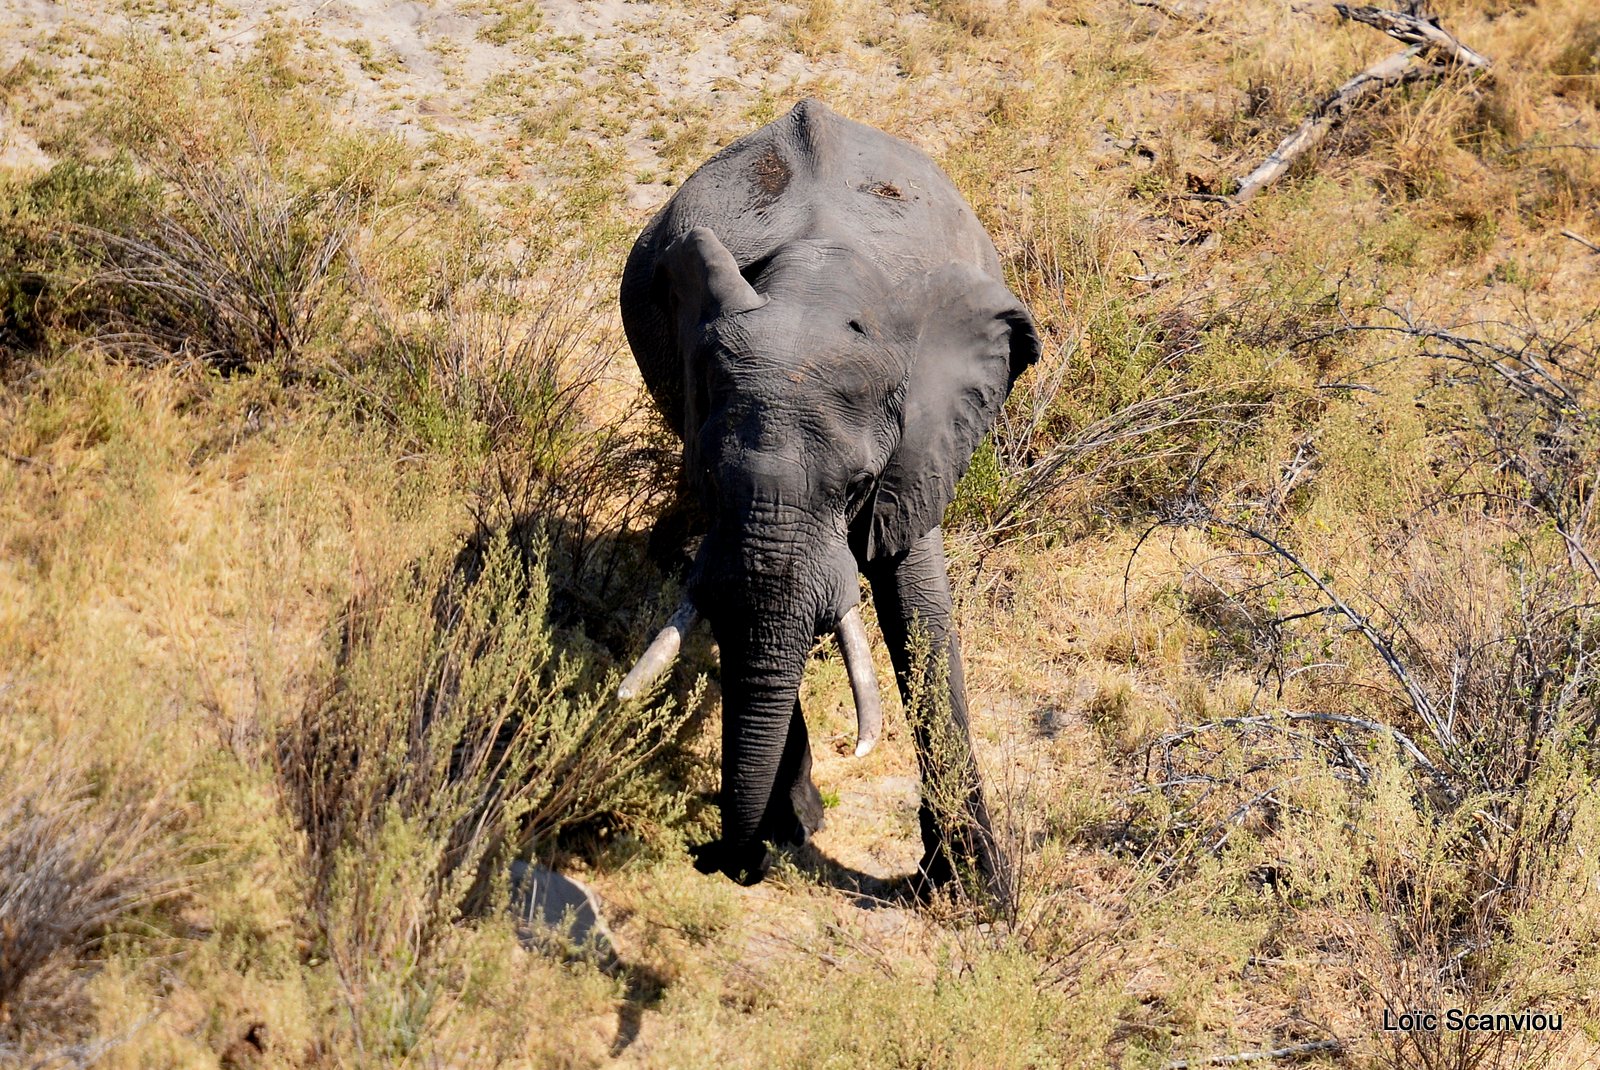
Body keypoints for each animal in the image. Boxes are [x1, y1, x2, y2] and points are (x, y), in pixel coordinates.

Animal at [611, 99, 1036, 908]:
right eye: (707, 477)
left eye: (857, 486)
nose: (717, 861)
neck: (819, 285)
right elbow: (736, 607)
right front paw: (794, 830)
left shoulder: (920, 437)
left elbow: (919, 611)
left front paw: (975, 897)